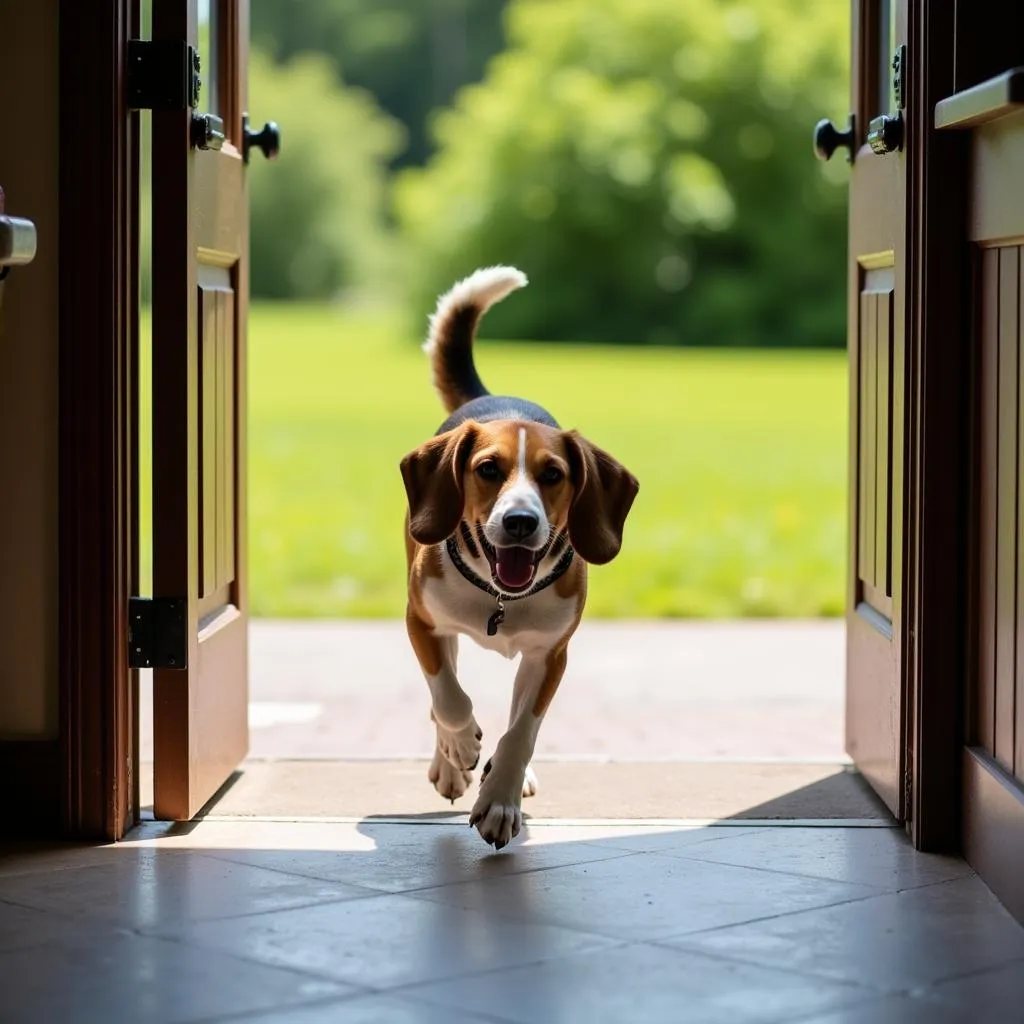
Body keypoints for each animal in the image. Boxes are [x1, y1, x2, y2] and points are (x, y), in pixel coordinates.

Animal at [401, 264, 634, 847]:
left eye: (553, 474)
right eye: (487, 469)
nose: (521, 523)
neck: (500, 597)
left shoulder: (550, 654)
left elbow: (522, 730)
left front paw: (501, 797)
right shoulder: (421, 621)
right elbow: (449, 697)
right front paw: (461, 746)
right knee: (446, 693)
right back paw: (450, 761)